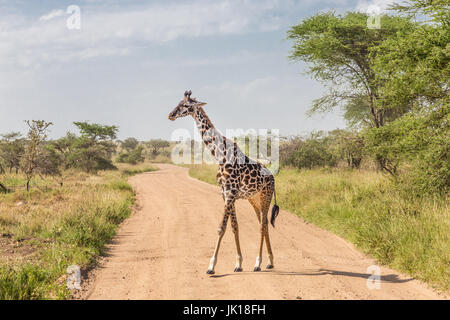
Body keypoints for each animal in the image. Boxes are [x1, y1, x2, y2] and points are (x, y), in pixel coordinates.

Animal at [170, 90, 278, 276]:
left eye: (186, 105)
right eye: (178, 103)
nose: (170, 115)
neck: (219, 156)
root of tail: (272, 176)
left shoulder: (229, 193)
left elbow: (221, 227)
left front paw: (211, 267)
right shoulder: (226, 194)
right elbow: (234, 226)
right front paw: (239, 263)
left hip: (266, 196)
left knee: (262, 225)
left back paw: (258, 263)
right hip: (254, 199)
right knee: (263, 224)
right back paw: (269, 262)